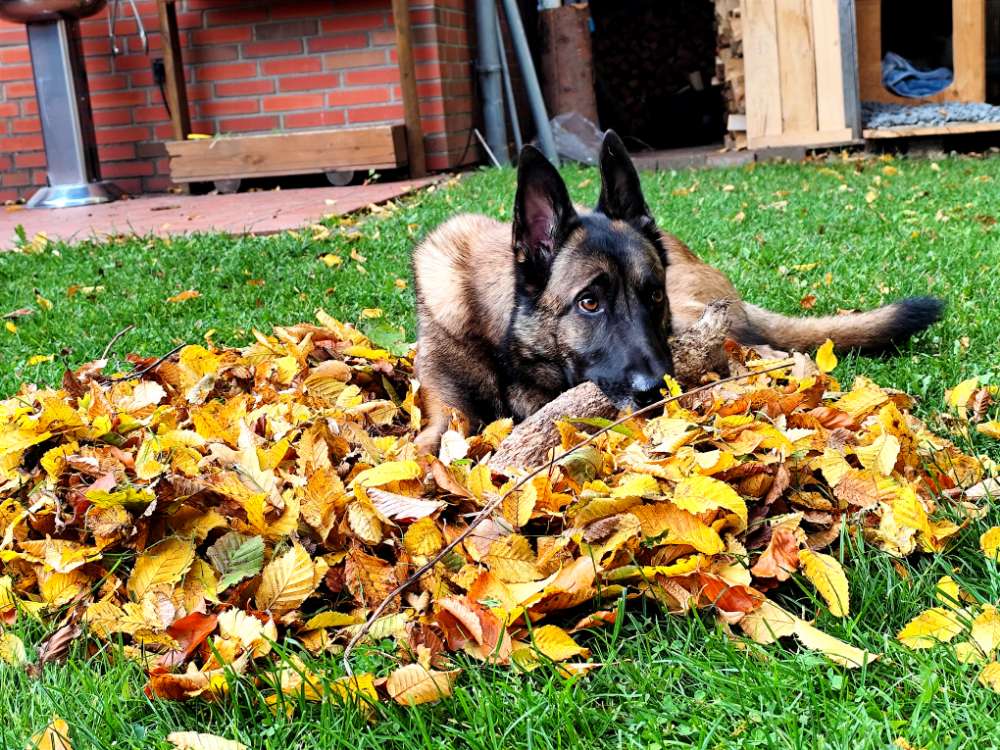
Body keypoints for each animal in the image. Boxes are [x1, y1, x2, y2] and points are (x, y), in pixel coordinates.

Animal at [410, 129, 940, 452]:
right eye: (589, 302)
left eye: (653, 294)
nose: (657, 391)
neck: (502, 337)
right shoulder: (443, 411)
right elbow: (427, 445)